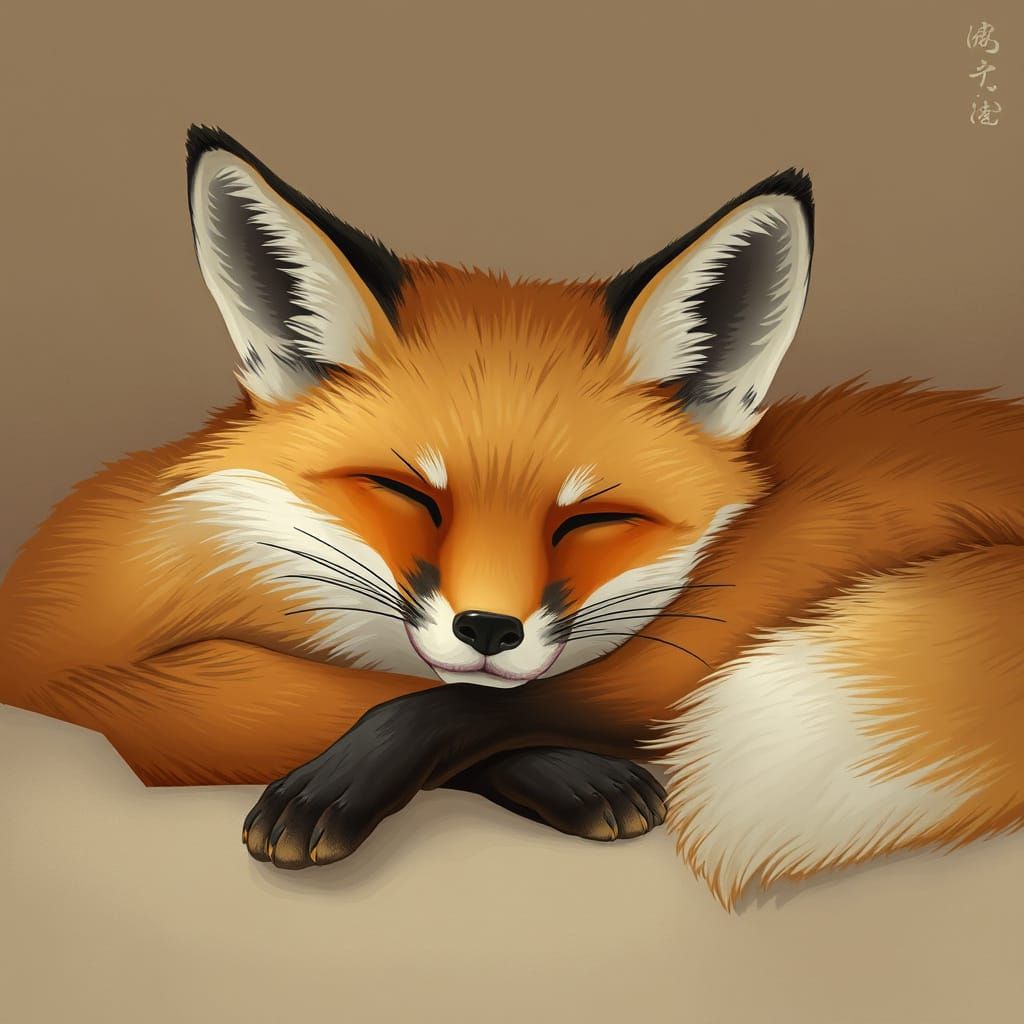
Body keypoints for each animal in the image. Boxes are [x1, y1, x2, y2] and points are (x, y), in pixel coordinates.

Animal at [2, 125, 1023, 910]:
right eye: (409, 494)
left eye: (589, 520)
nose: (488, 628)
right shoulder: (62, 658)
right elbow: (310, 692)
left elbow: (415, 697)